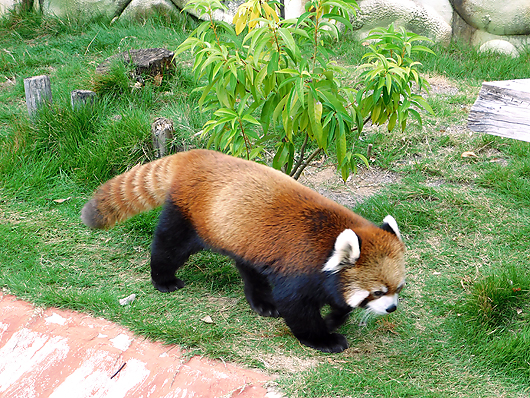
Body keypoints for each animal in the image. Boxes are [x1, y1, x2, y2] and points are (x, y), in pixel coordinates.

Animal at [82, 148, 404, 352]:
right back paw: (163, 279)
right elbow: (296, 309)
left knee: (250, 270)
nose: (392, 308)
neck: (328, 247)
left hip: (246, 239)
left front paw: (335, 318)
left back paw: (262, 303)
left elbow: (338, 303)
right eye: (377, 292)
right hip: (189, 217)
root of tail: (195, 155)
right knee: (169, 245)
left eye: (398, 288)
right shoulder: (299, 269)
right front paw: (323, 339)